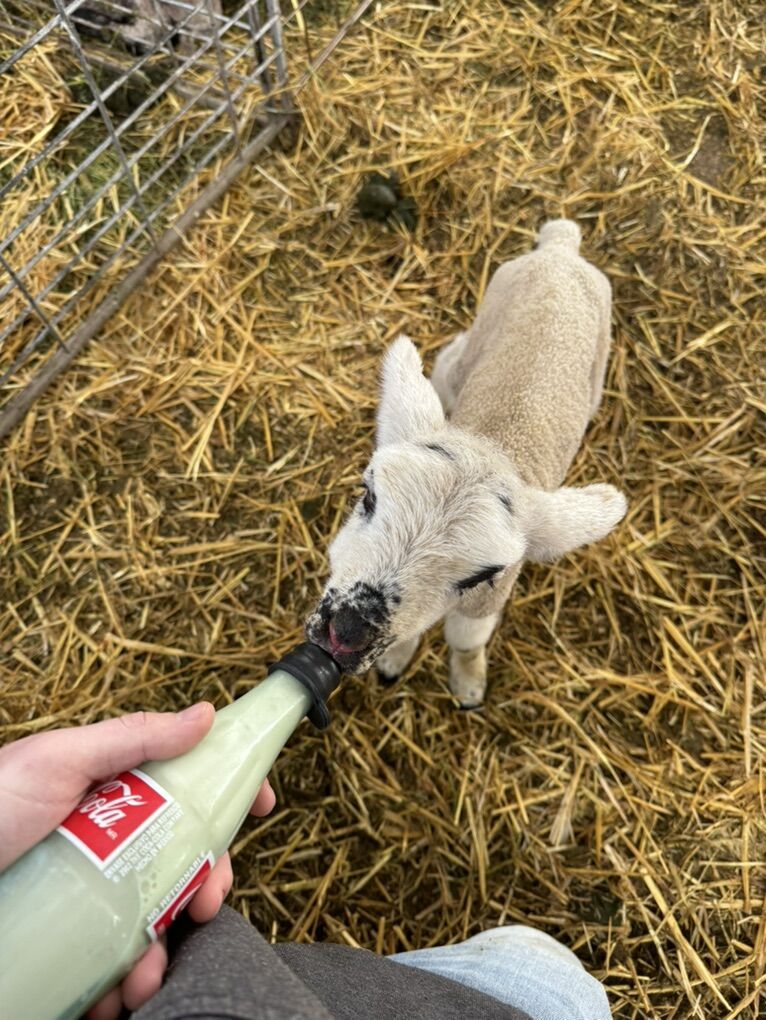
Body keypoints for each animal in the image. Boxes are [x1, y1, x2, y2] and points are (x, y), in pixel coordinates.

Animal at [305, 219, 627, 707]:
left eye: (482, 575)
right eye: (368, 497)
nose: (347, 631)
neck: (494, 441)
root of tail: (562, 248)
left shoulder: (486, 601)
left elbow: (466, 641)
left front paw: (468, 682)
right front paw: (395, 659)